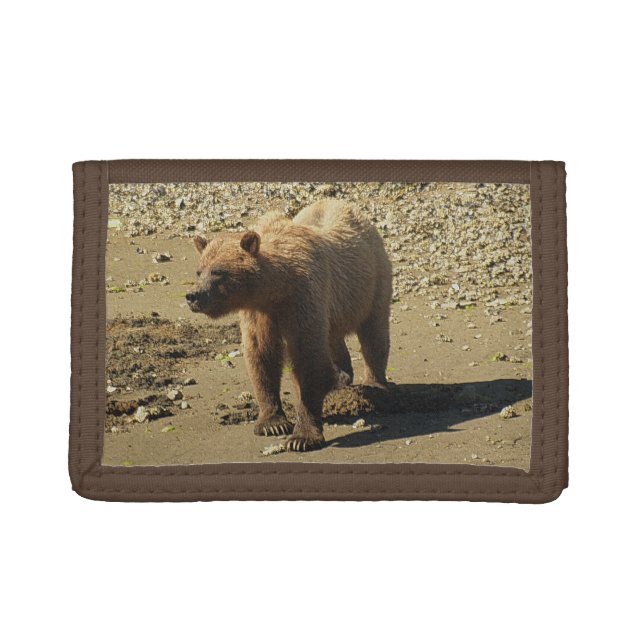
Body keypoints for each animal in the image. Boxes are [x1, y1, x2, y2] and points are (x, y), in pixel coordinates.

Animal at [186, 199, 392, 451]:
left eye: (218, 272)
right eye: (199, 271)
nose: (193, 296)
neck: (275, 289)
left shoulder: (302, 298)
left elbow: (307, 359)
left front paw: (302, 436)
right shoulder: (259, 314)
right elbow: (261, 356)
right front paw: (272, 423)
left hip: (372, 281)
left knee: (374, 333)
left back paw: (374, 384)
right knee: (333, 336)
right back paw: (341, 376)